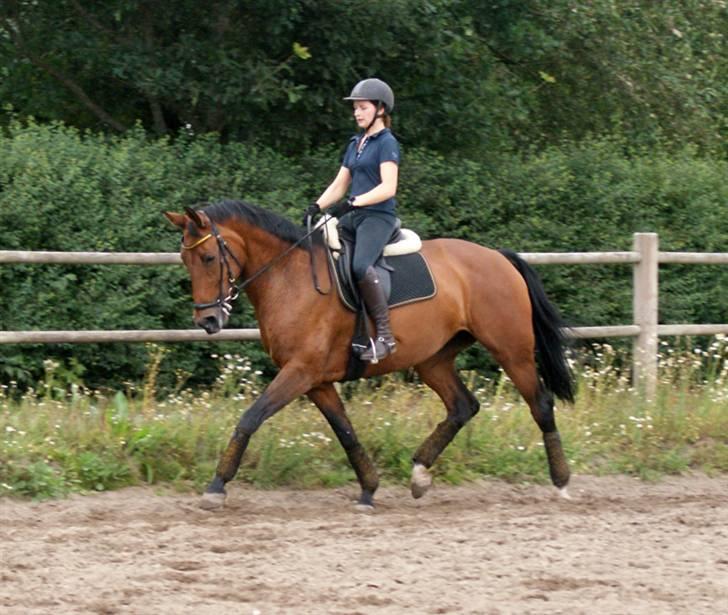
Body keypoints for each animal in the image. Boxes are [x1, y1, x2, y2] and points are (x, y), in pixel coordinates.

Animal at [164, 200, 575, 510]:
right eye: (185, 259)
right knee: (462, 406)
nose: (208, 320)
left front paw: (216, 486)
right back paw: (420, 475)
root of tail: (498, 257)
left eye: (207, 258)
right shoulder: (315, 380)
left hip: (511, 350)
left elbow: (250, 418)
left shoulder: (300, 372)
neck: (289, 276)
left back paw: (561, 482)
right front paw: (368, 489)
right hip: (433, 359)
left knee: (540, 404)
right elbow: (345, 432)